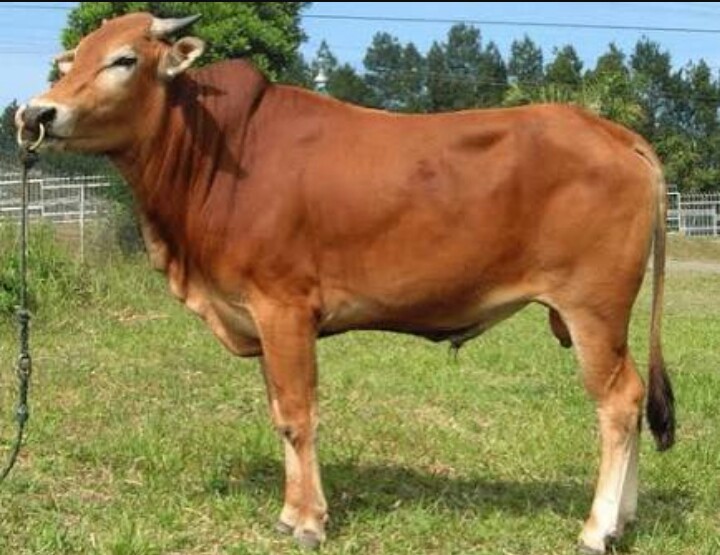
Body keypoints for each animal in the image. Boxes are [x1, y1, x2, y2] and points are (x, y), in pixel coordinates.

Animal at [17, 13, 675, 554]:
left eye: (124, 59)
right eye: (69, 62)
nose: (35, 114)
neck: (216, 154)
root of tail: (617, 134)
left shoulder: (284, 308)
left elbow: (297, 415)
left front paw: (310, 522)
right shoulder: (258, 317)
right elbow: (278, 411)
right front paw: (289, 514)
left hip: (593, 311)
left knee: (619, 402)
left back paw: (597, 528)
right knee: (636, 396)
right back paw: (625, 521)